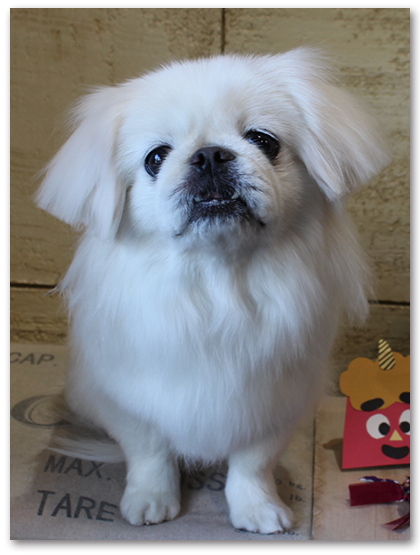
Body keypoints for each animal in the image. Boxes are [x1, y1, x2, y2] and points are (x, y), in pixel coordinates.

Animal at [36, 47, 389, 534]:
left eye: (263, 140)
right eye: (156, 158)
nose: (209, 155)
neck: (219, 285)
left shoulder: (273, 403)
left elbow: (252, 464)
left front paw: (258, 509)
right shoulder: (131, 400)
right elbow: (149, 454)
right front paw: (151, 501)